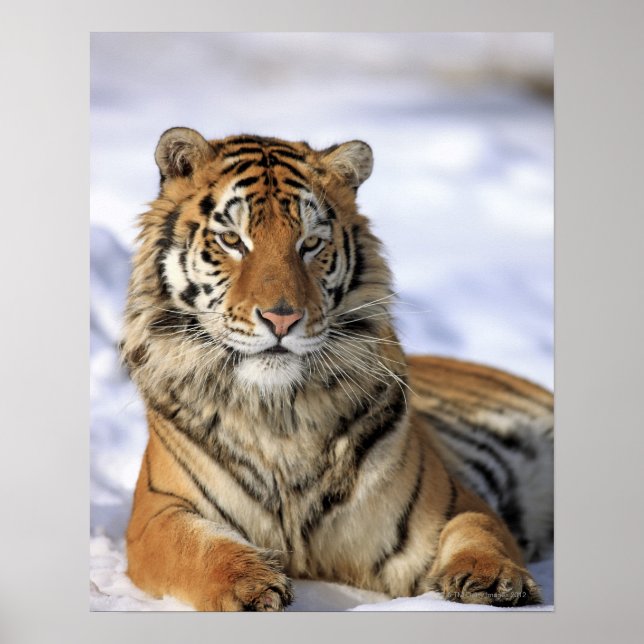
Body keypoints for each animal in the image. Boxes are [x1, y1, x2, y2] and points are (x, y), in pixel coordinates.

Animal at [120, 127, 553, 611]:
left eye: (310, 244)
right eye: (232, 240)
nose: (282, 319)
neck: (279, 416)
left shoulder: (449, 502)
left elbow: (478, 528)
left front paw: (493, 579)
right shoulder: (157, 512)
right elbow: (196, 546)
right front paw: (249, 585)